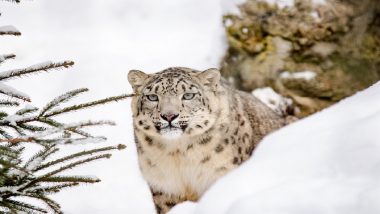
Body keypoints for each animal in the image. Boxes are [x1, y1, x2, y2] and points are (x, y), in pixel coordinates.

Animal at [128, 66, 288, 212]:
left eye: (188, 95)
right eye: (152, 97)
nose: (169, 116)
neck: (179, 154)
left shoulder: (221, 175)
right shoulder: (164, 187)